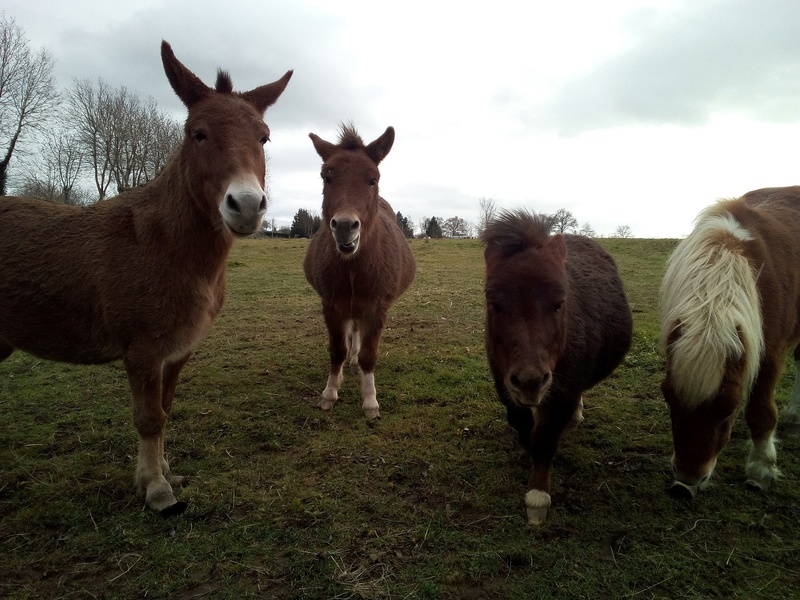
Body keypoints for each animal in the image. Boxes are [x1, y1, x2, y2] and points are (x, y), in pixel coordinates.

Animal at [0, 39, 292, 512]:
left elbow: (164, 410)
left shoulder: (178, 350)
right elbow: (149, 418)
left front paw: (160, 472)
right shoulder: (141, 351)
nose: (246, 205)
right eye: (198, 133)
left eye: (263, 136)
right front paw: (157, 489)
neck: (161, 246)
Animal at [304, 125, 418, 420]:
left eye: (372, 179)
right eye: (327, 177)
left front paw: (370, 401)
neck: (354, 266)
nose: (345, 226)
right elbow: (336, 351)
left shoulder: (377, 309)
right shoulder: (332, 306)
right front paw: (329, 394)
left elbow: (369, 355)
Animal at [482, 211, 632, 524]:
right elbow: (524, 427)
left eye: (559, 303)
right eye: (493, 302)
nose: (530, 380)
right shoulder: (505, 384)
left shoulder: (563, 390)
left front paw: (537, 499)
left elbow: (546, 438)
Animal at [660, 186, 800, 496]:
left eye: (728, 408)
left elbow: (761, 412)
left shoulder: (770, 353)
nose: (685, 483)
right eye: (668, 398)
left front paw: (760, 470)